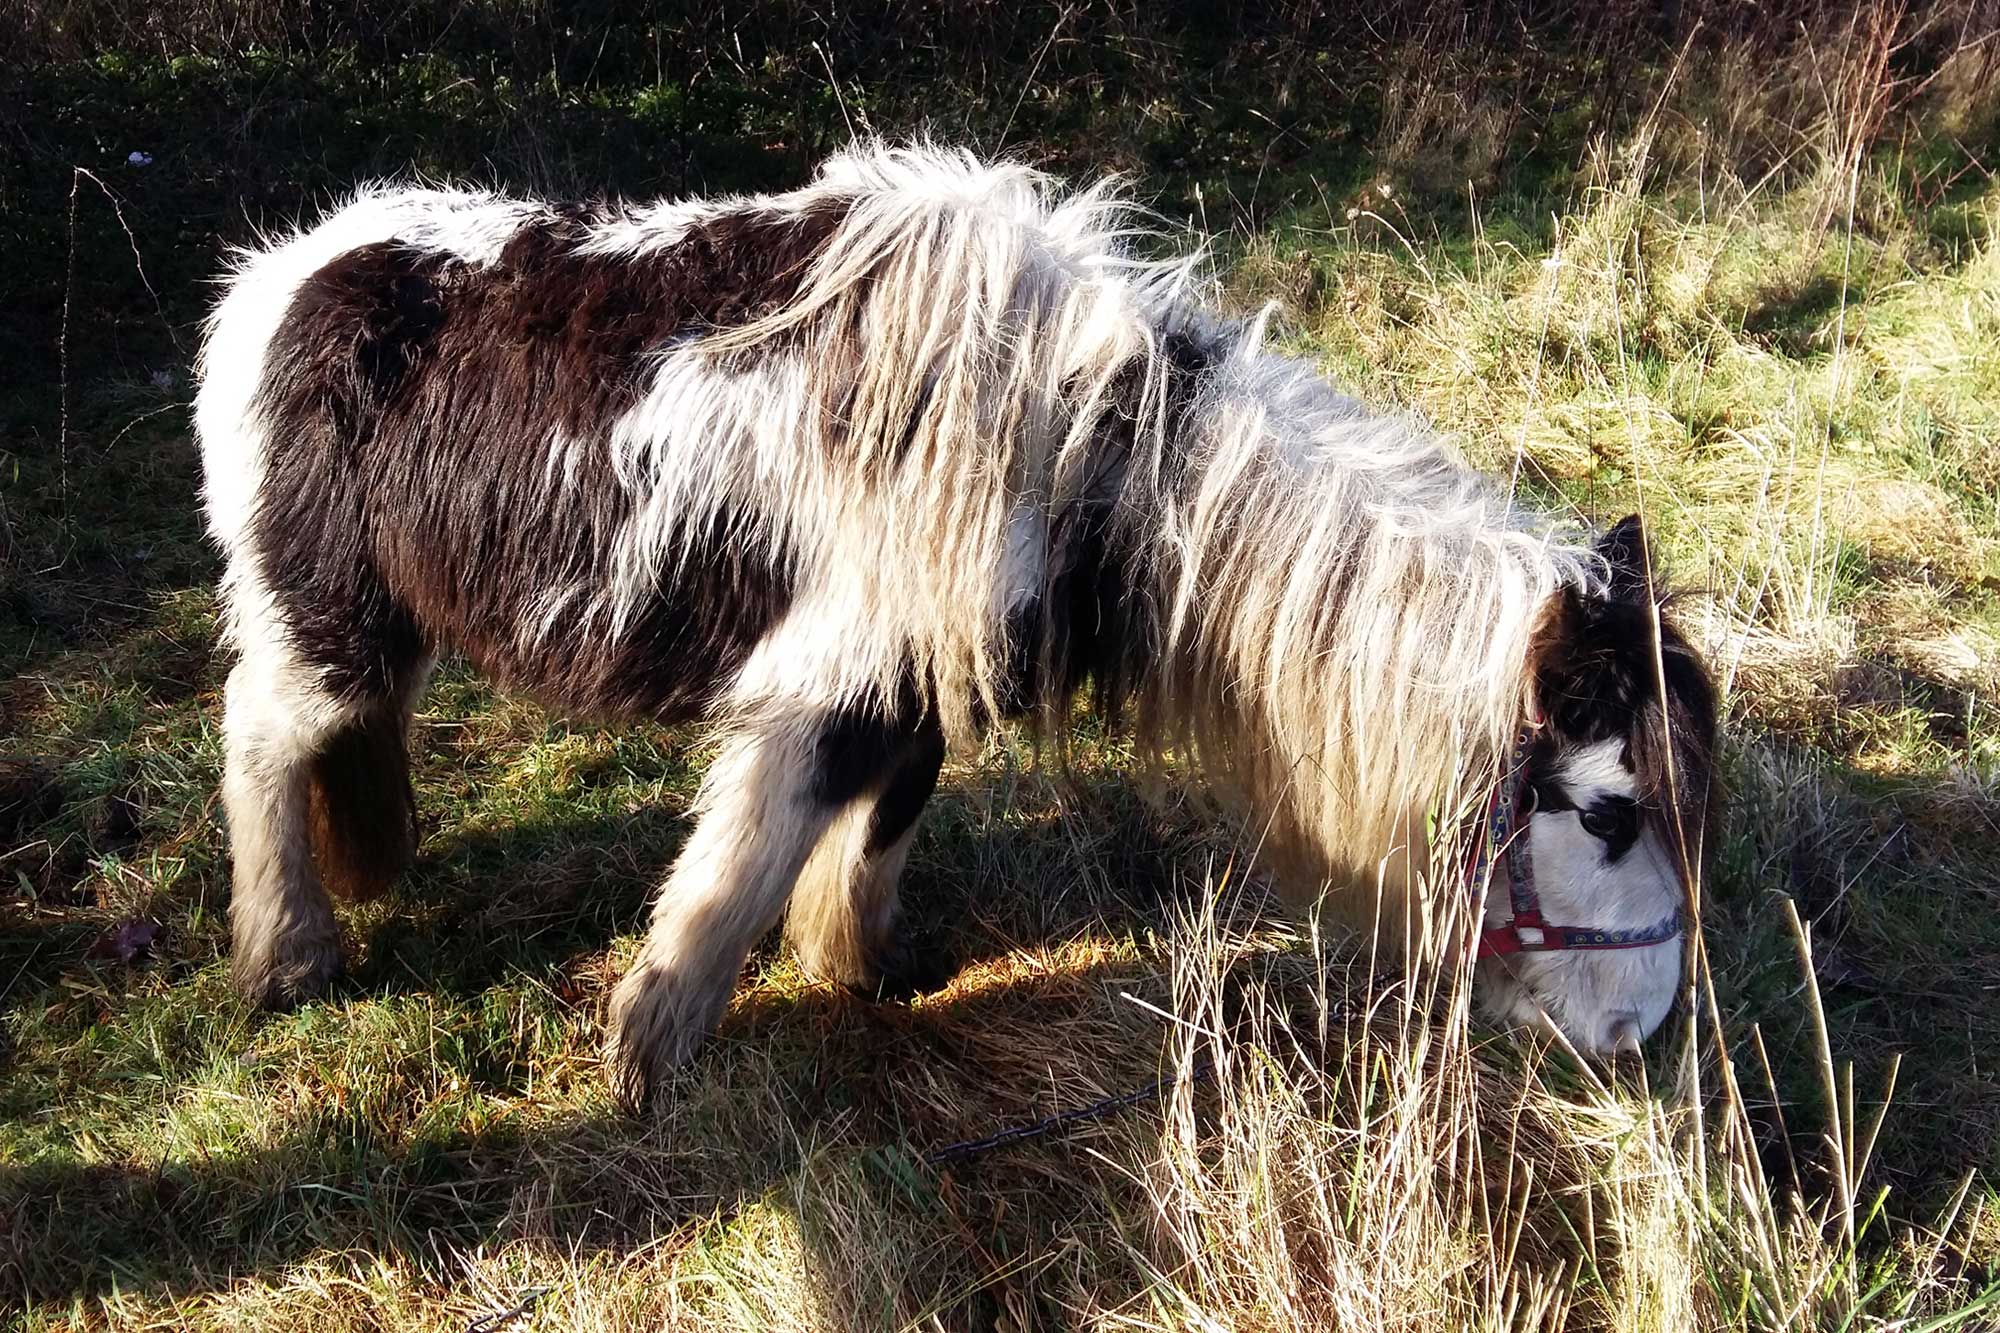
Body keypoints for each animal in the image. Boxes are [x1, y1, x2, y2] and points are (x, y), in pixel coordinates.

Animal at [195, 143, 1712, 1096]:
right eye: (1607, 814)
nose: (1641, 1036)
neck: (1095, 450)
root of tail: (282, 278)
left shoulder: (913, 681)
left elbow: (884, 819)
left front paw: (859, 972)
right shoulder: (820, 688)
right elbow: (741, 865)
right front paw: (650, 1052)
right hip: (321, 624)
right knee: (261, 738)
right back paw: (290, 958)